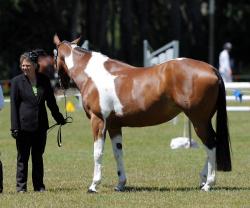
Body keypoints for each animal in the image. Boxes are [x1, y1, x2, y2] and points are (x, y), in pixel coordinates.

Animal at [53, 34, 231, 192]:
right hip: (203, 120)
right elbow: (118, 153)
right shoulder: (114, 126)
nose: (61, 83)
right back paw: (203, 180)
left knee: (211, 144)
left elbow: (97, 153)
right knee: (213, 144)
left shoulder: (98, 121)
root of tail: (211, 69)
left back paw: (208, 183)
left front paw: (93, 185)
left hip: (198, 120)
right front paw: (120, 184)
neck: (94, 75)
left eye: (54, 56)